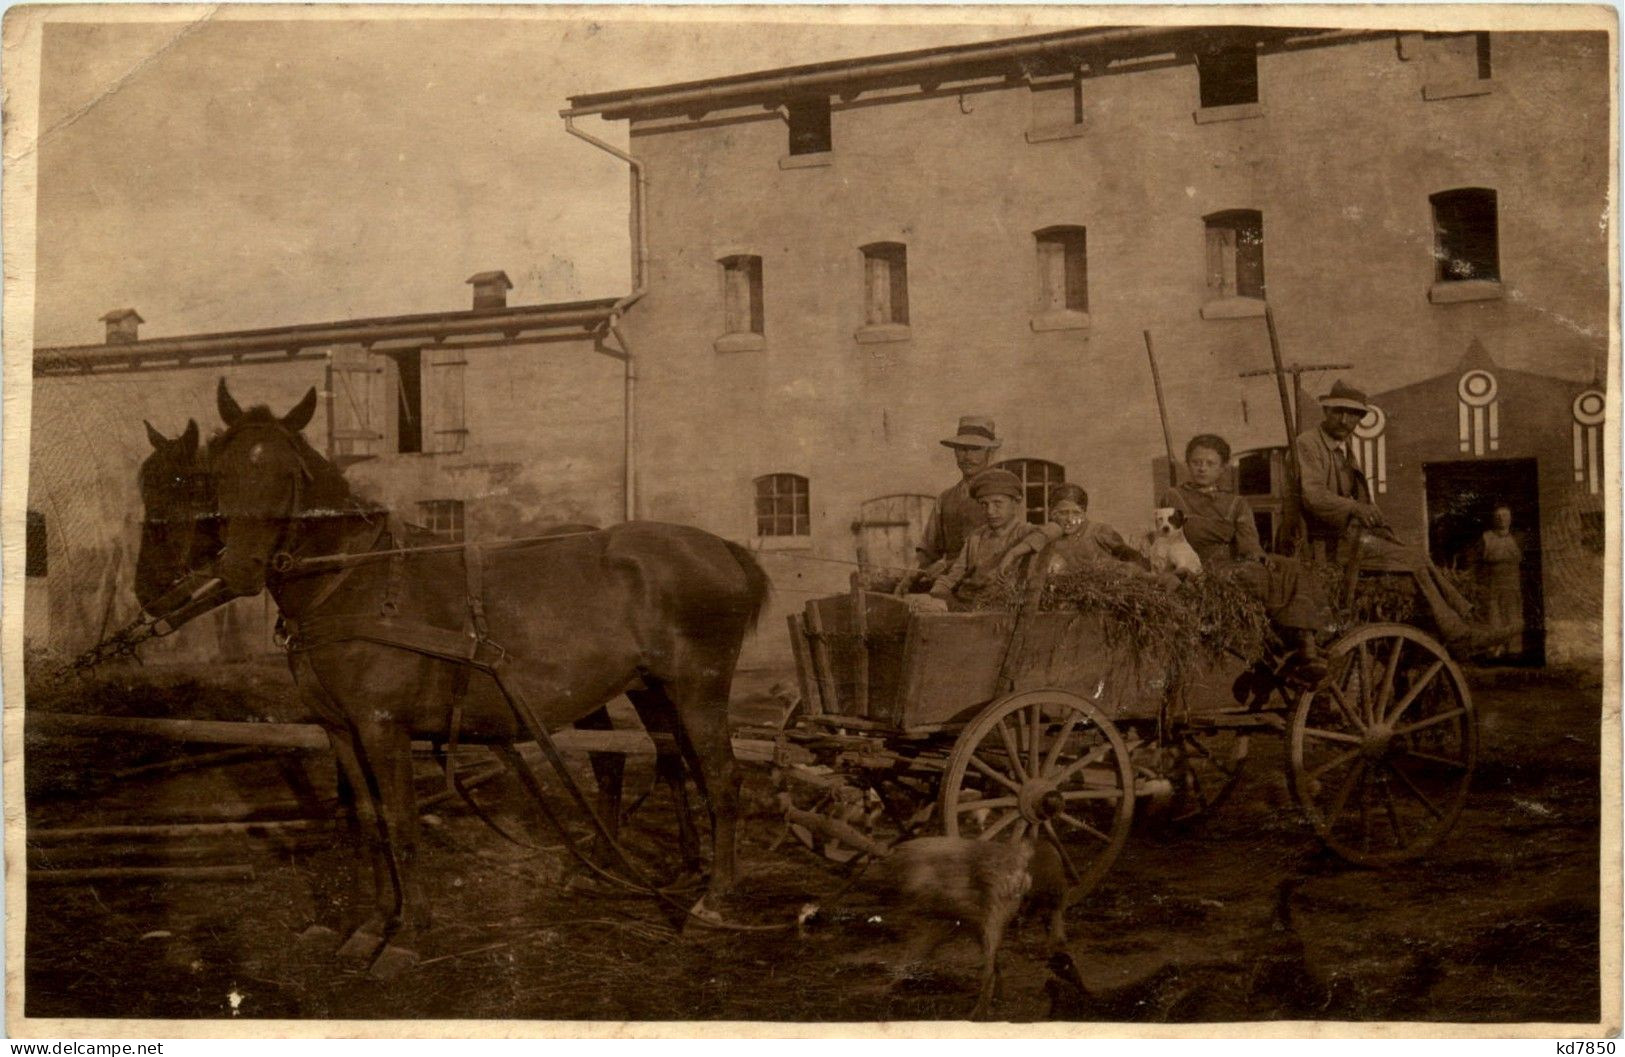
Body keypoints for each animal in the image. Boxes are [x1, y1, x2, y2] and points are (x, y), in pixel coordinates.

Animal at [133, 378, 767, 969]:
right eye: (219, 472)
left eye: (288, 475)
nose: (238, 569)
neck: (351, 580)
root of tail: (722, 548)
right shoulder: (341, 731)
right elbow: (367, 822)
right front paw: (367, 924)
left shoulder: (383, 727)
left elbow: (402, 823)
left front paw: (407, 934)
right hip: (652, 690)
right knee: (671, 766)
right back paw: (669, 872)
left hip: (699, 689)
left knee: (722, 781)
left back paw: (712, 904)